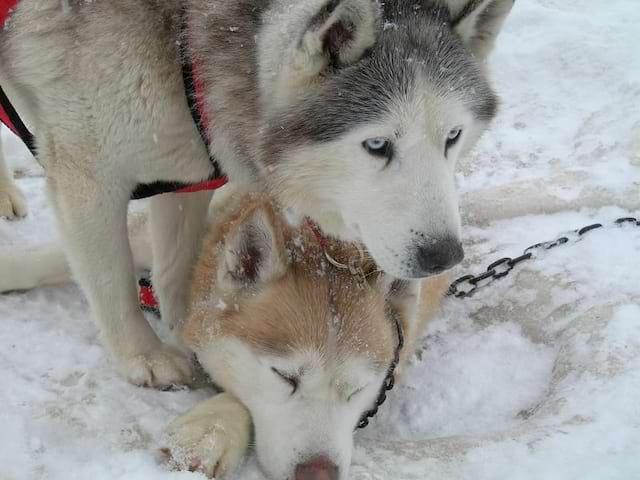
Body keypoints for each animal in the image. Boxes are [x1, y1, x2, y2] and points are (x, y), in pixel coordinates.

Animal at [0, 0, 512, 386]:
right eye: (377, 145)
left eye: (452, 136)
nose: (444, 256)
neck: (186, 37)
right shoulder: (87, 174)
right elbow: (113, 280)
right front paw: (143, 355)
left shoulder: (184, 169)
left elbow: (177, 270)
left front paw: (195, 325)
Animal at [0, 188, 450, 480]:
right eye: (283, 376)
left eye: (358, 389)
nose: (317, 474)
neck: (324, 242)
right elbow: (50, 260)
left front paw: (209, 431)